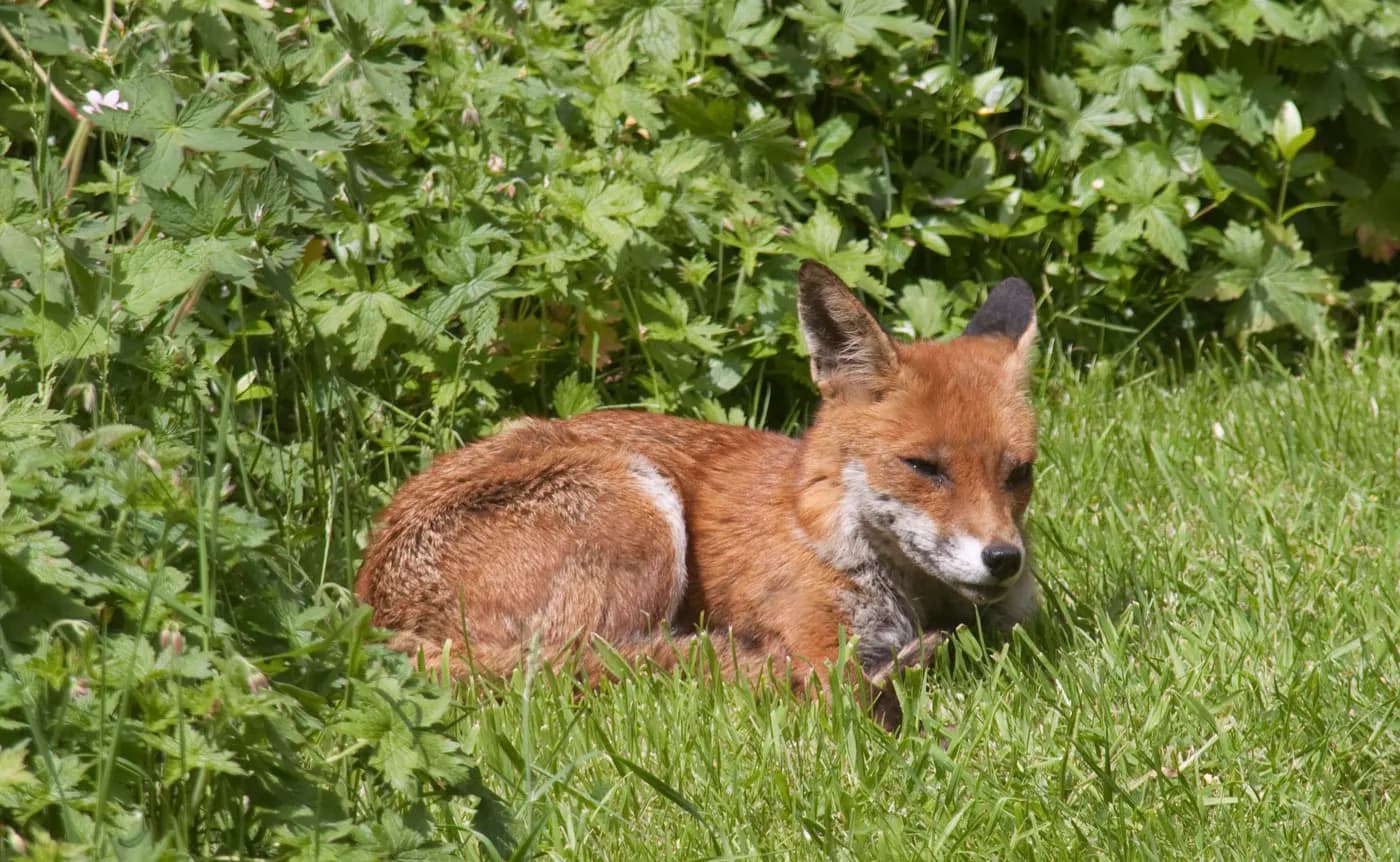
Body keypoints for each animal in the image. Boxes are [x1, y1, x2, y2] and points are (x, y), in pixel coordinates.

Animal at [355, 260, 1040, 728]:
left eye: (1020, 473)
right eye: (923, 467)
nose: (1004, 558)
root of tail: (371, 612)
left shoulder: (1012, 626)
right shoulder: (818, 644)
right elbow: (838, 685)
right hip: (640, 509)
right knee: (602, 664)